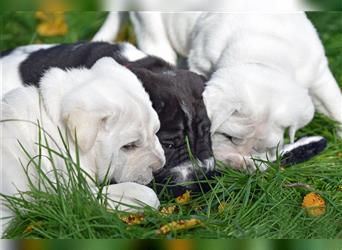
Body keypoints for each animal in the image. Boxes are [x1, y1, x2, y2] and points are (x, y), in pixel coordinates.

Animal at [94, 12, 342, 171]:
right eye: (229, 137)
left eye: (267, 148)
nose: (240, 164)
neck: (264, 55)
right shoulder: (200, 63)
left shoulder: (318, 74)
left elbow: (335, 106)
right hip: (150, 24)